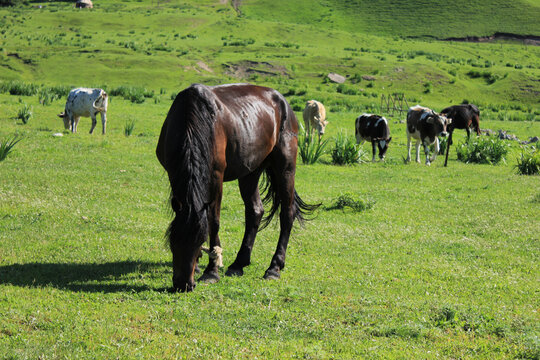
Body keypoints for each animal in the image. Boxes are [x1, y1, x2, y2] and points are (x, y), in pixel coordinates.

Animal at [155, 84, 316, 292]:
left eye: (200, 241)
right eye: (172, 241)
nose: (183, 285)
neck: (191, 119)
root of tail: (283, 103)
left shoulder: (216, 177)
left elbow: (213, 221)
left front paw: (211, 272)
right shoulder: (173, 173)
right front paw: (200, 267)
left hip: (285, 168)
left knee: (287, 214)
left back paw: (274, 267)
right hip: (251, 171)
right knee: (255, 211)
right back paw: (239, 263)